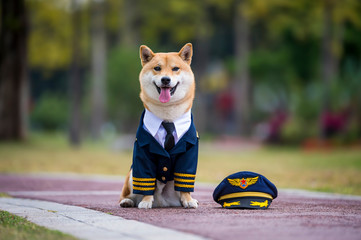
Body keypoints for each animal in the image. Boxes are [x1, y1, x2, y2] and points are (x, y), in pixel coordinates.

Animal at [119, 44, 198, 209]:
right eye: (157, 68)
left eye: (175, 68)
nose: (165, 79)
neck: (168, 118)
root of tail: (161, 202)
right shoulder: (143, 148)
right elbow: (146, 181)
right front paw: (146, 201)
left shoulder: (190, 149)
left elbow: (185, 181)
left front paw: (188, 199)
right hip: (132, 174)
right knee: (128, 194)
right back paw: (128, 201)